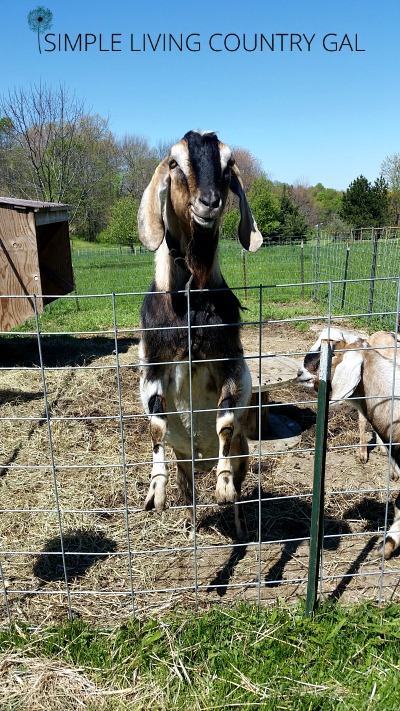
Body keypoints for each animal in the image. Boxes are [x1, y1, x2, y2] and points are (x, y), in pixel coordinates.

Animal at [137, 129, 262, 540]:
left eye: (228, 164)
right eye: (174, 163)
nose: (209, 202)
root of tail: (200, 457)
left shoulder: (229, 364)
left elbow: (224, 421)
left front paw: (222, 486)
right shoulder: (154, 366)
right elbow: (156, 425)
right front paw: (155, 491)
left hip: (243, 453)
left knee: (238, 484)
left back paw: (237, 523)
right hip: (185, 463)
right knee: (189, 491)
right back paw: (191, 528)